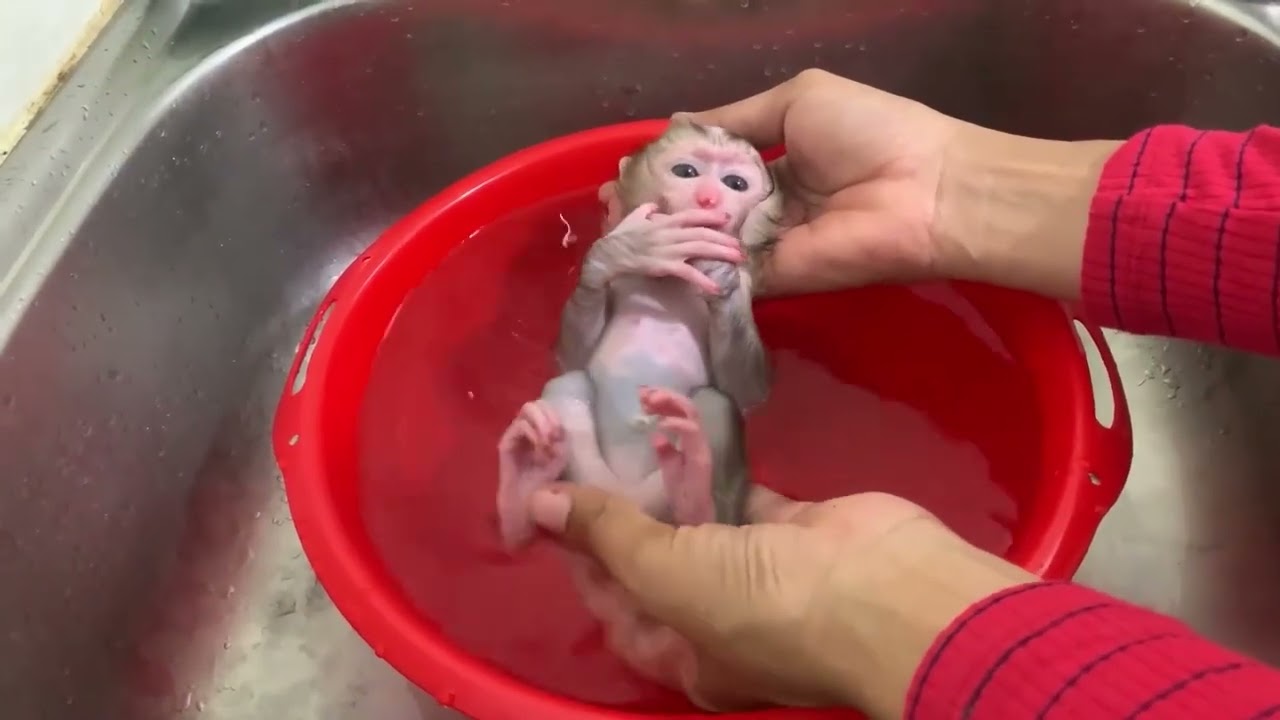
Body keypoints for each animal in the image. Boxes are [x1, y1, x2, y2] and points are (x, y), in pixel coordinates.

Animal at [495, 117, 782, 552]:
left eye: (735, 183)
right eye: (686, 172)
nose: (708, 200)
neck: (669, 279)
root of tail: (625, 500)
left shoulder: (749, 286)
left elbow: (748, 395)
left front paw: (717, 271)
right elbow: (568, 358)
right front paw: (622, 251)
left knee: (715, 405)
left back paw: (693, 496)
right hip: (590, 478)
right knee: (568, 384)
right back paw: (523, 487)